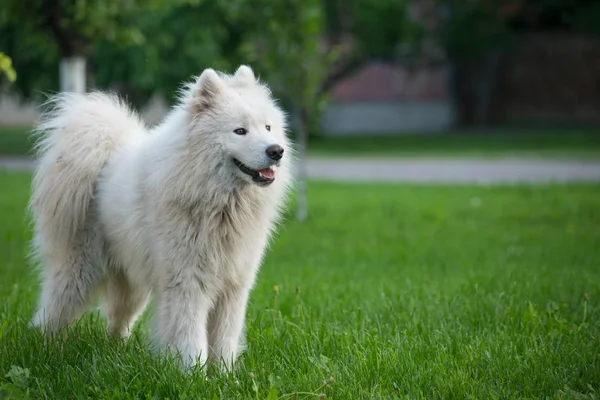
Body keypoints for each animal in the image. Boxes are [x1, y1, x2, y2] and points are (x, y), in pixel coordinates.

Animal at [29, 65, 292, 368]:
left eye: (268, 127)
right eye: (240, 131)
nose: (276, 150)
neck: (220, 203)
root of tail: (105, 153)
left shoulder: (233, 286)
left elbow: (225, 337)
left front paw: (225, 374)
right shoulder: (186, 282)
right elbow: (190, 336)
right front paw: (193, 373)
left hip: (131, 284)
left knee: (117, 320)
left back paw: (117, 352)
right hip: (79, 272)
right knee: (52, 313)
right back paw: (46, 350)